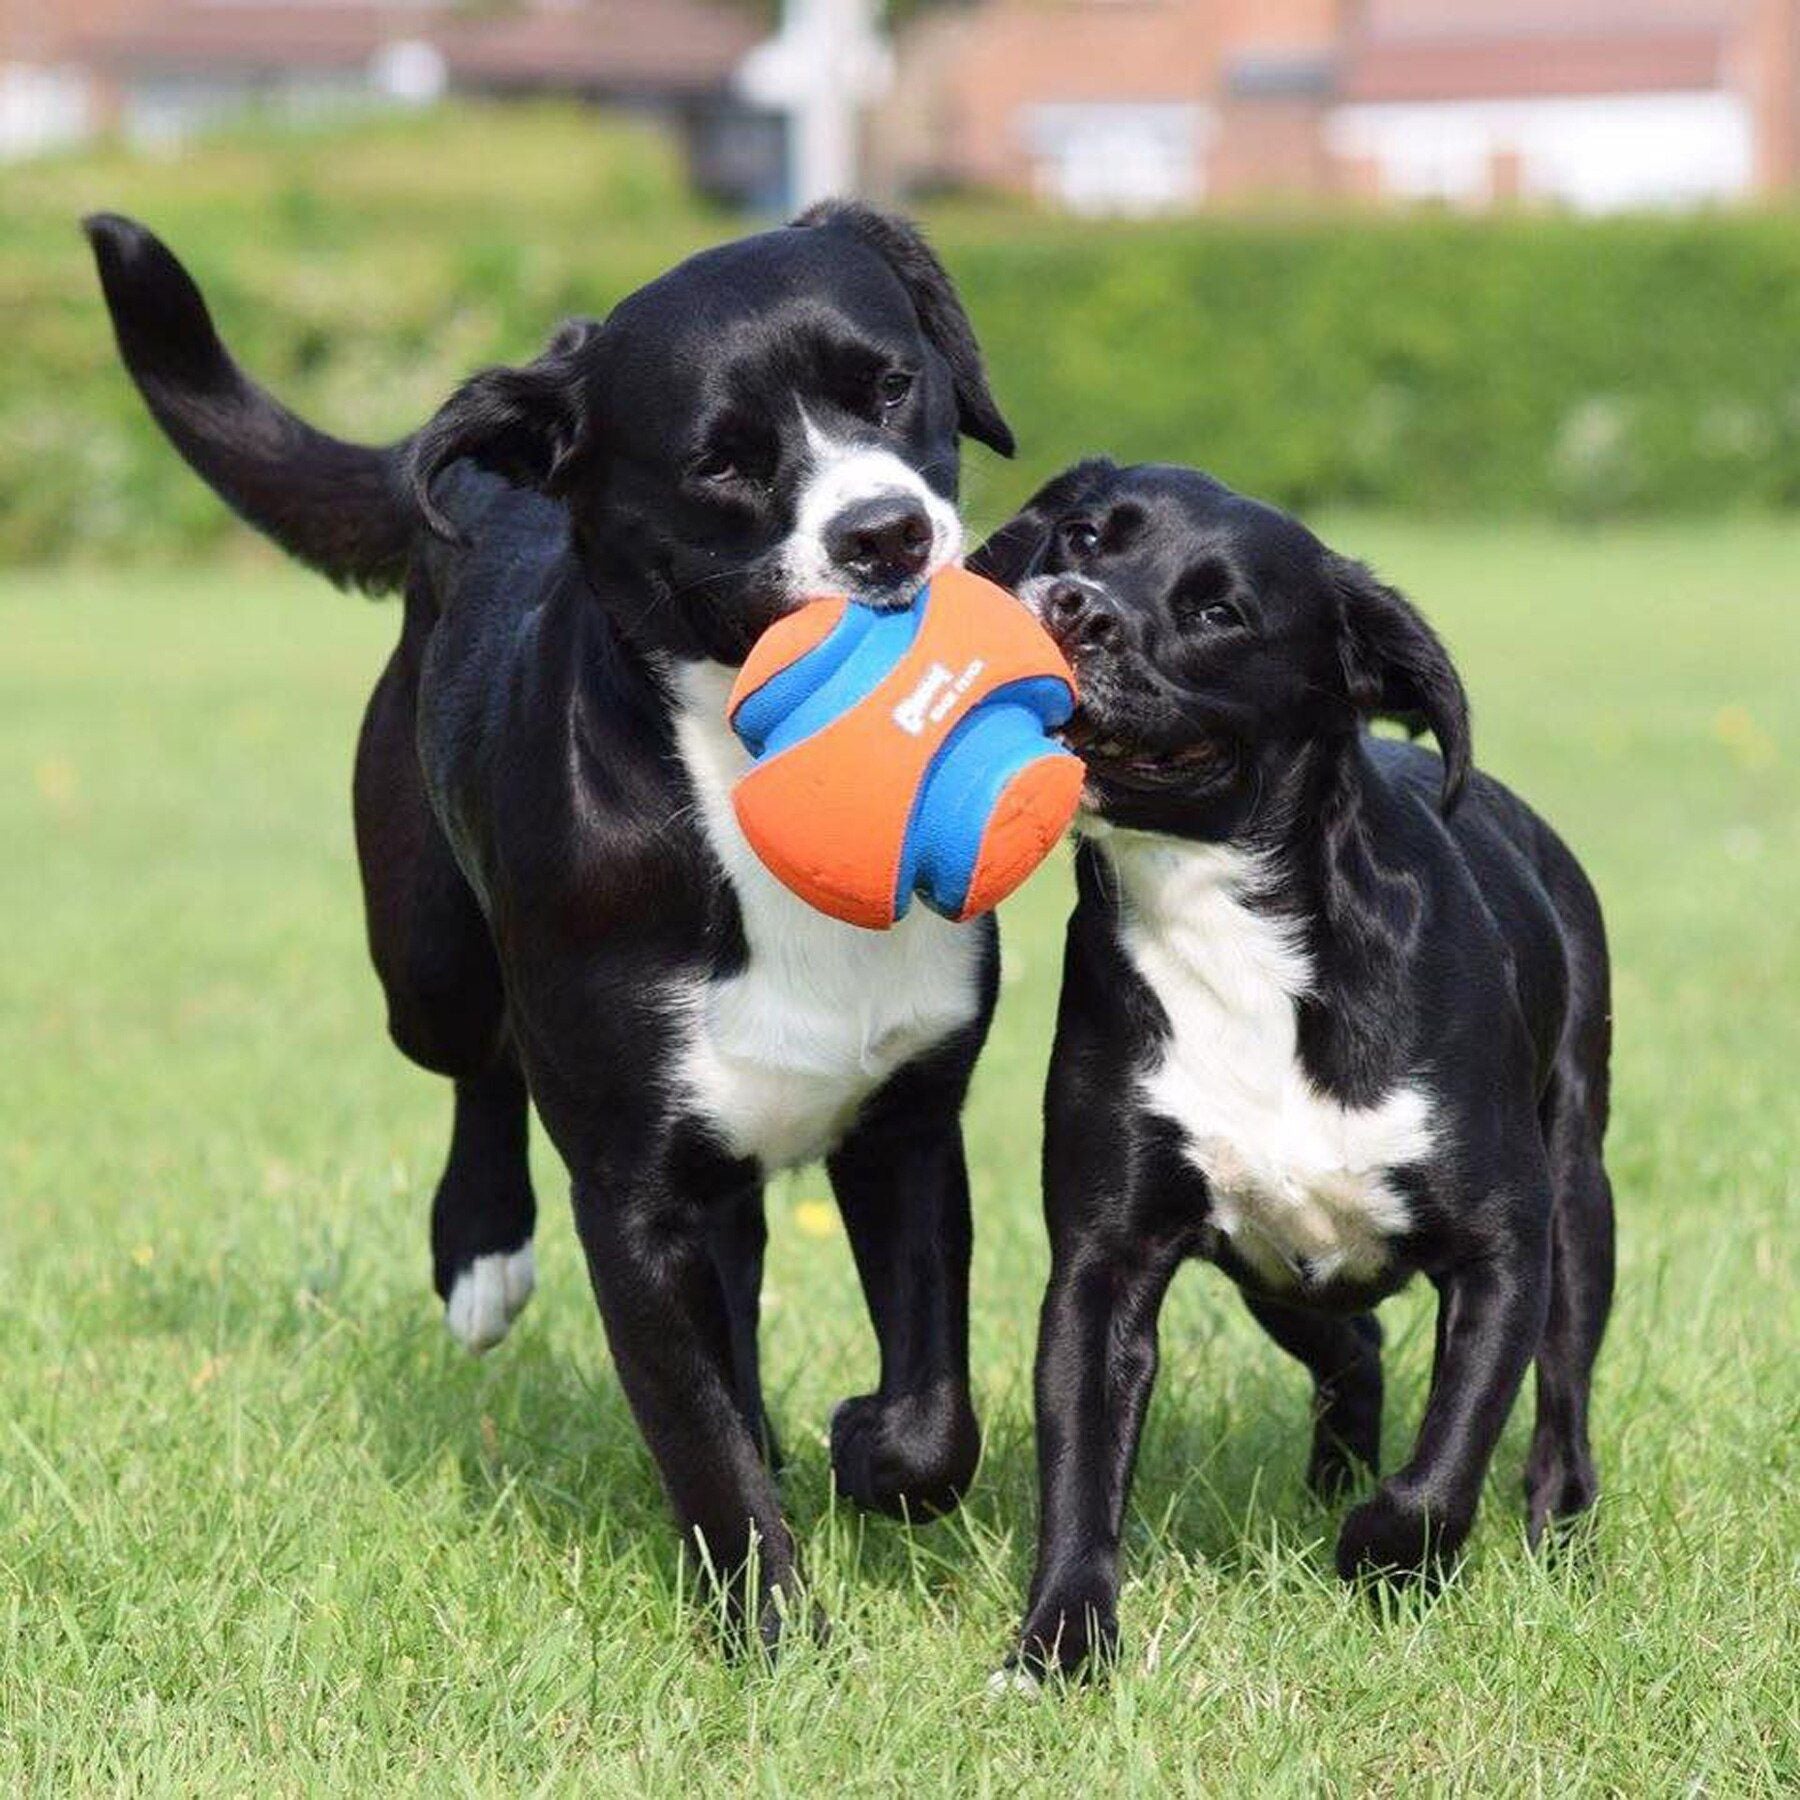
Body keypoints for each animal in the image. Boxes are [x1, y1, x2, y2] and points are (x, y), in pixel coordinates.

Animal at [87, 200, 1015, 1648]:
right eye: (721, 463)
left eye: (890, 386)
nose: (885, 536)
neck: (745, 790)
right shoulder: (630, 1191)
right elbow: (700, 1441)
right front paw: (773, 1634)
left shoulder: (910, 1112)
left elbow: (931, 1413)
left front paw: (868, 1449)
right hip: (427, 954)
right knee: (479, 1061)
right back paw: (479, 1255)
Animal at [979, 460, 1627, 1670]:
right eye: (1082, 534)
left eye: (1219, 612)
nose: (1073, 603)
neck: (1226, 918)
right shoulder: (1105, 1259)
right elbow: (1079, 1469)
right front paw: (1057, 1651)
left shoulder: (1503, 1246)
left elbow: (1444, 1465)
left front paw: (1379, 1549)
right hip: (1280, 1267)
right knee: (1355, 1345)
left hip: (1579, 1200)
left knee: (1561, 1399)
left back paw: (1560, 1536)